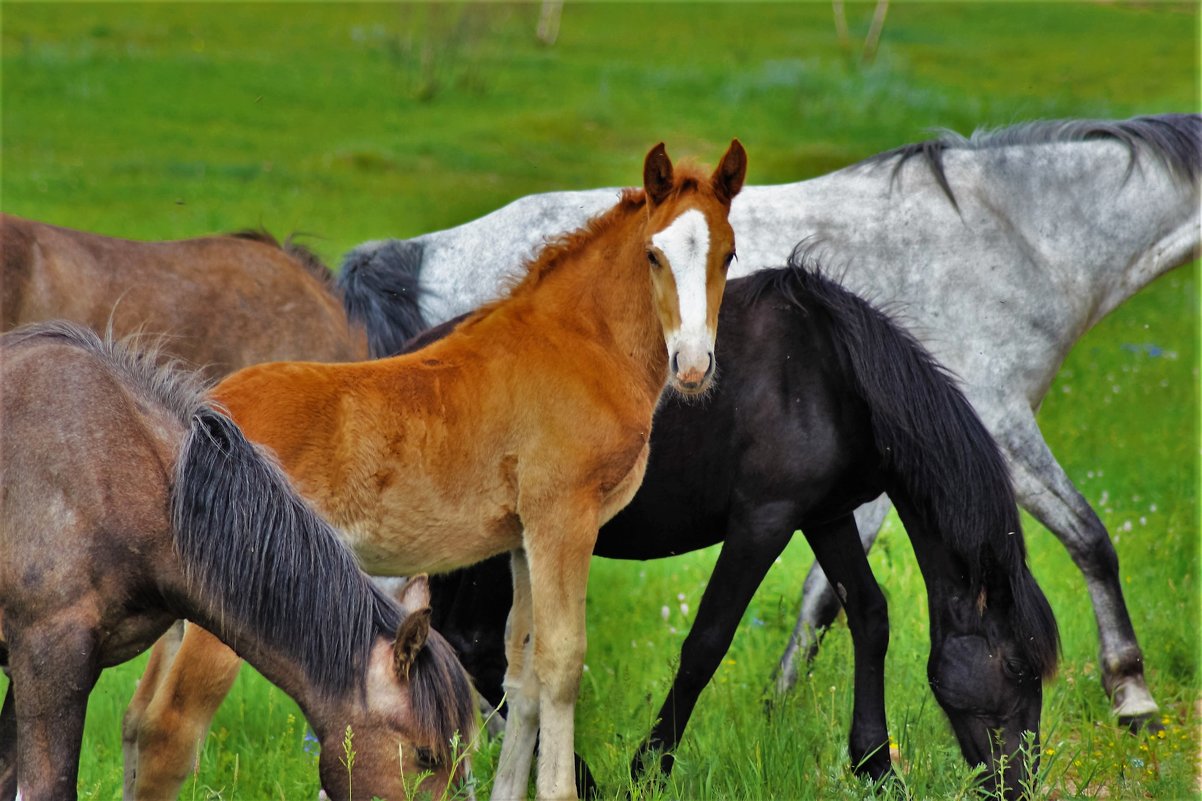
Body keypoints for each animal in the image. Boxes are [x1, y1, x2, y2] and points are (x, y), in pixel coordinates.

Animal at [119, 140, 740, 793]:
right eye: (653, 255)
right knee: (169, 729)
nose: (693, 364)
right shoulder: (564, 519)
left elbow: (521, 676)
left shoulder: (522, 540)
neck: (578, 344)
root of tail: (194, 419)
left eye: (729, 255)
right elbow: (562, 664)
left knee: (136, 720)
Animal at [341, 113, 1202, 721]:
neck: (1012, 236)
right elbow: (1090, 537)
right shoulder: (998, 428)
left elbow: (831, 592)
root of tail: (423, 254)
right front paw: (1133, 693)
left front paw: (783, 704)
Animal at [370, 252, 1057, 793]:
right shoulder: (763, 522)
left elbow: (868, 614)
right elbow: (706, 642)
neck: (832, 376)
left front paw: (874, 765)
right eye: (1016, 668)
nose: (1018, 784)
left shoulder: (825, 516)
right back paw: (580, 778)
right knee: (476, 644)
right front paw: (648, 769)